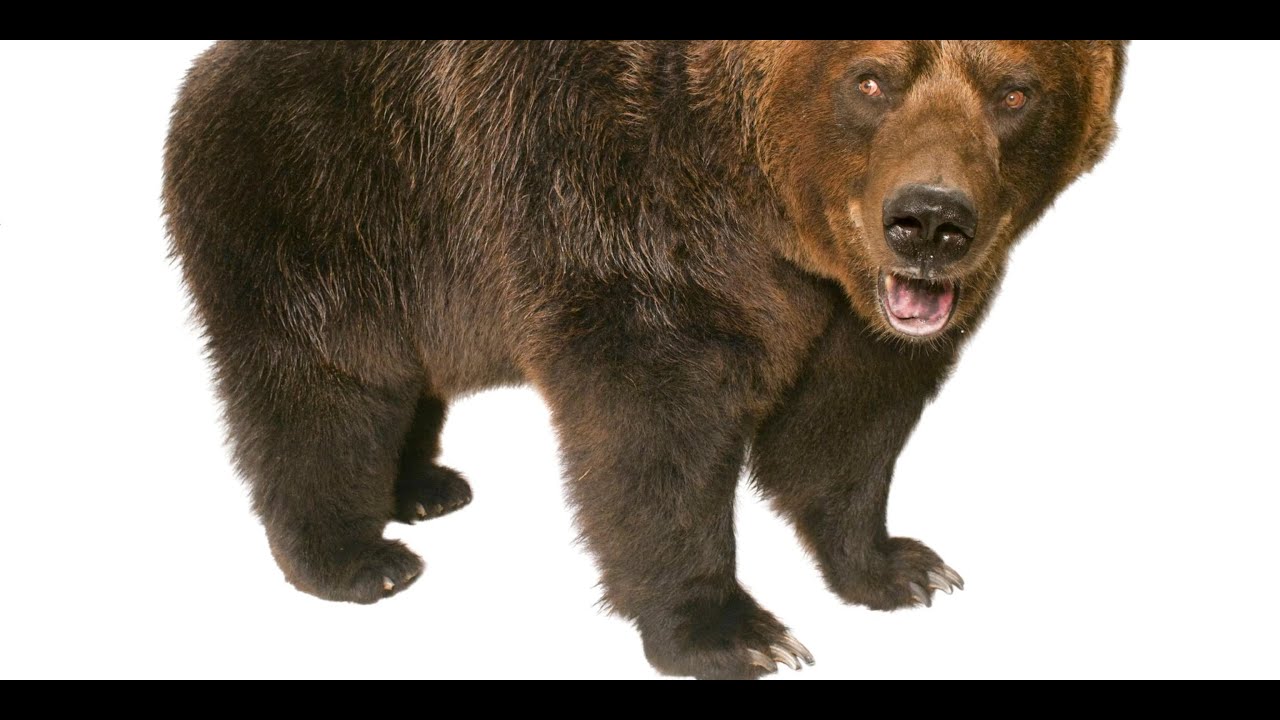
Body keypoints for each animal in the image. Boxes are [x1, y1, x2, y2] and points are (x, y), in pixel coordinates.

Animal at [164, 40, 1126, 679]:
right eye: (870, 80)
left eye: (1015, 92)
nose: (929, 220)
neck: (774, 214)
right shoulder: (624, 213)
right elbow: (657, 435)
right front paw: (732, 630)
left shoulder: (853, 311)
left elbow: (846, 428)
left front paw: (900, 566)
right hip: (330, 203)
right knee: (327, 388)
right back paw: (355, 557)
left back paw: (426, 486)